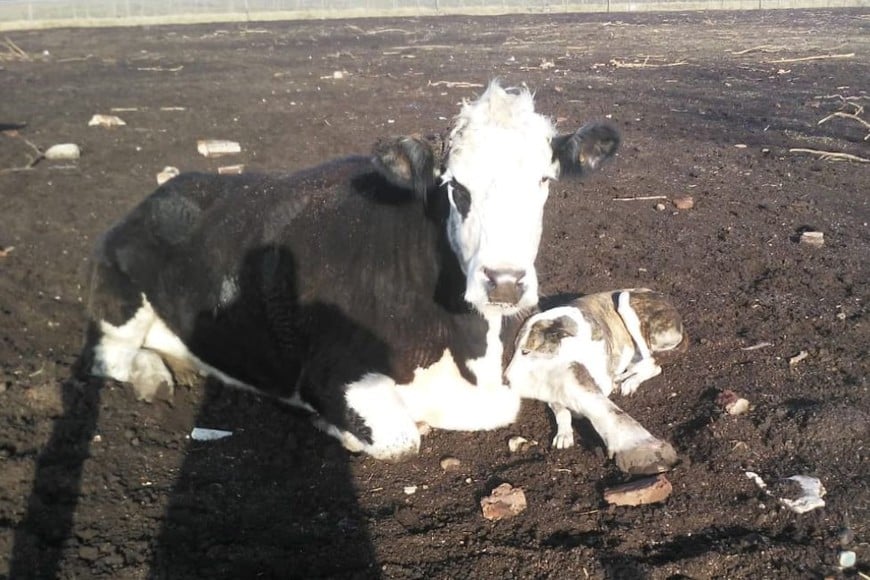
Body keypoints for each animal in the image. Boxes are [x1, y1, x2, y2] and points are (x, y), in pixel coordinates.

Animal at [83, 82, 620, 462]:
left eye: (544, 181)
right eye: (455, 187)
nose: (504, 282)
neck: (470, 346)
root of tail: (164, 191)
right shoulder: (329, 372)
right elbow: (402, 438)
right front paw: (337, 429)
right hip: (119, 298)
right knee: (108, 359)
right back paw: (153, 375)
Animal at [504, 288, 688, 474]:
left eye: (526, 351)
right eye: (513, 350)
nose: (505, 378)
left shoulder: (599, 381)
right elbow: (560, 408)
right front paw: (564, 432)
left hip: (626, 301)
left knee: (651, 362)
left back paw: (630, 381)